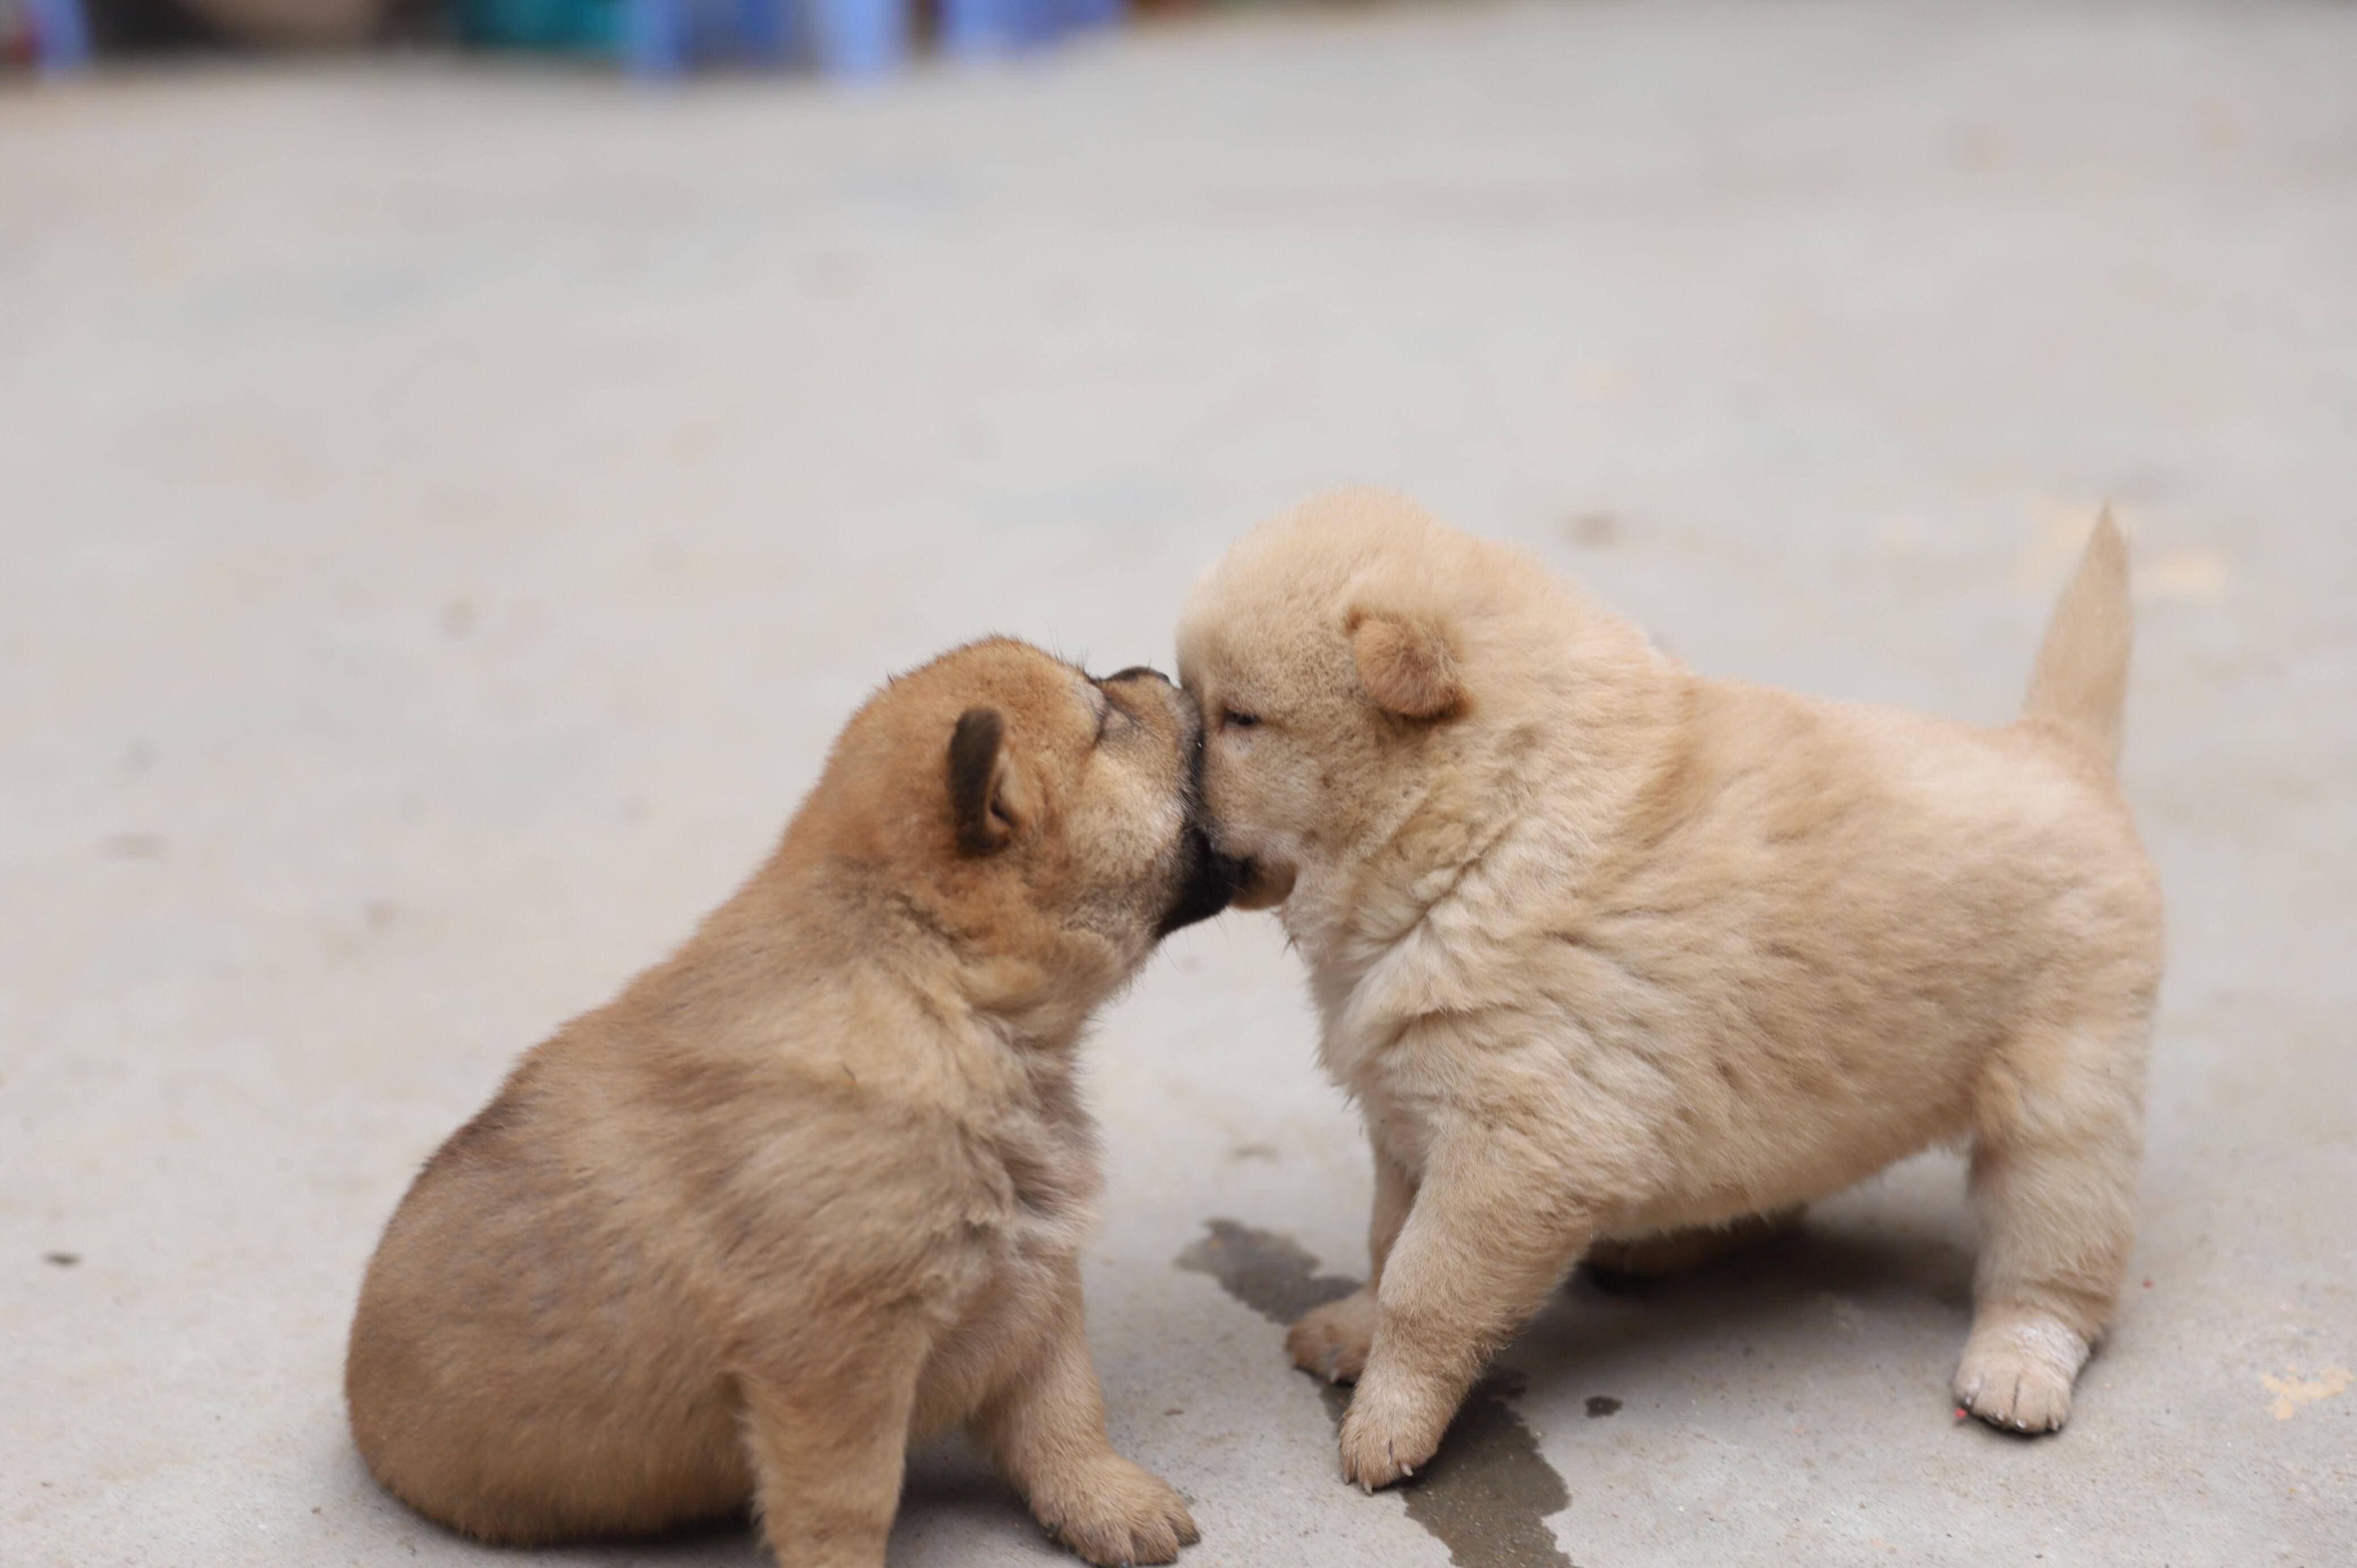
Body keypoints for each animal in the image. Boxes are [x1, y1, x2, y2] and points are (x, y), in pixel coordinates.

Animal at [348, 641, 1235, 1565]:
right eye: (1107, 719)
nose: (1158, 672)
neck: (927, 978)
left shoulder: (1037, 1280)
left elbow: (1063, 1412)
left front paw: (1105, 1498)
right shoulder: (838, 1369)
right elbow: (847, 1507)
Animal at [1173, 490, 2159, 1480]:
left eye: (1240, 721)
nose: (1165, 737)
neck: (1483, 828)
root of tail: (2061, 751)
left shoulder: (1511, 1148)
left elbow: (1426, 1286)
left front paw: (1388, 1423)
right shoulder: (1407, 1118)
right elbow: (1385, 1247)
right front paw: (1352, 1331)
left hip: (2059, 1108)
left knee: (2056, 1260)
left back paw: (2017, 1367)